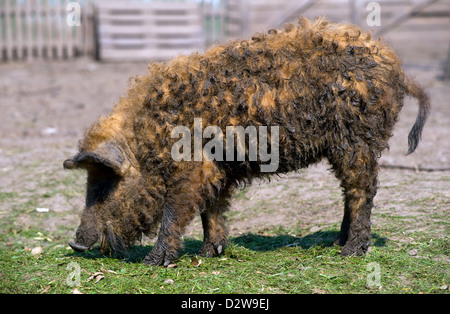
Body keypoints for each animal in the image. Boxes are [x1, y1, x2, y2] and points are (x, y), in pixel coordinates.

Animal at [63, 17, 428, 264]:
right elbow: (210, 208)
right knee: (351, 193)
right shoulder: (216, 169)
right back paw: (337, 243)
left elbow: (174, 210)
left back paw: (350, 252)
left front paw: (155, 262)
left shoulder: (191, 168)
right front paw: (209, 253)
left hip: (357, 140)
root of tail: (396, 67)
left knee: (362, 191)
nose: (75, 245)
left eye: (106, 184)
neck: (149, 135)